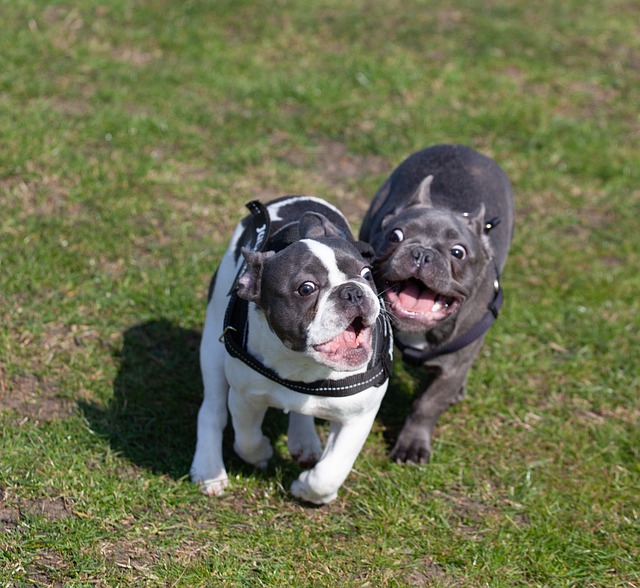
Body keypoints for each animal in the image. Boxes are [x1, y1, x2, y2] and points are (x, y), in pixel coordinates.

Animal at [190, 195, 392, 504]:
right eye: (306, 288)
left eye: (367, 274)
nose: (353, 291)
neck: (303, 364)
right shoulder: (245, 398)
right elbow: (246, 440)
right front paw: (262, 451)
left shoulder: (359, 415)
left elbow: (331, 470)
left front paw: (310, 491)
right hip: (213, 343)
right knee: (212, 409)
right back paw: (208, 468)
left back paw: (303, 440)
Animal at [360, 144, 516, 464]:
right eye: (396, 235)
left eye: (458, 252)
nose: (422, 253)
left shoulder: (452, 369)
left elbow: (427, 405)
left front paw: (412, 444)